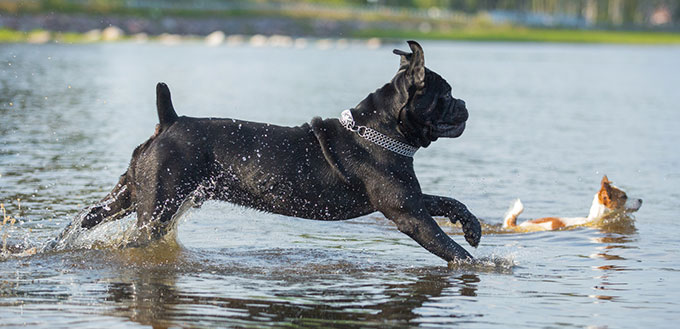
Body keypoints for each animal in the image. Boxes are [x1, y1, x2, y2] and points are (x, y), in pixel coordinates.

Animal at [77, 41, 480, 262]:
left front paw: (472, 226)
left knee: (88, 218)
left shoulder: (410, 199)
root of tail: (170, 121)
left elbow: (447, 201)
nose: (464, 104)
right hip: (157, 207)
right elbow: (450, 249)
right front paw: (483, 266)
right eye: (445, 96)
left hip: (131, 195)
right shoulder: (408, 214)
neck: (379, 130)